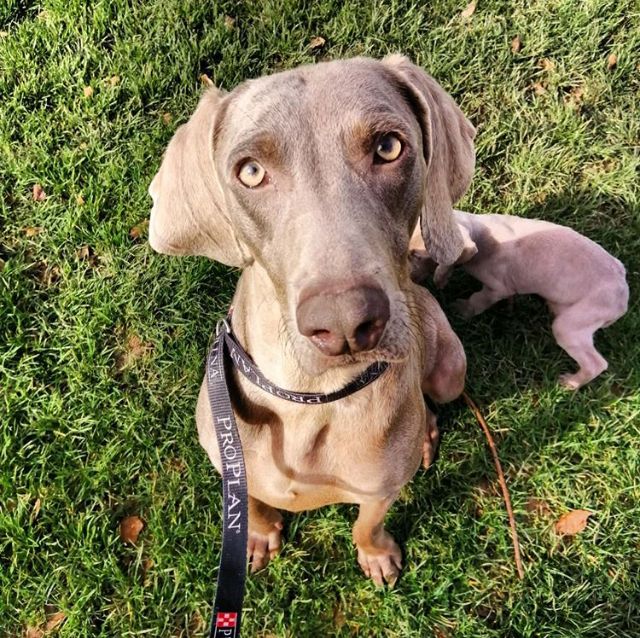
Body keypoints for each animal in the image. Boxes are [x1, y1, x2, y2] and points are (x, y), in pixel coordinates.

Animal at [148, 55, 476, 586]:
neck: (310, 397)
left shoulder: (380, 490)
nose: (346, 324)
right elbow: (252, 505)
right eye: (251, 172)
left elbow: (367, 523)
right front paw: (259, 536)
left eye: (388, 147)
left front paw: (376, 554)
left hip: (450, 369)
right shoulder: (231, 466)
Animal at [410, 210, 629, 389]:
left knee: (596, 363)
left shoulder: (497, 288)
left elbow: (477, 300)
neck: (482, 235)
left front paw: (461, 309)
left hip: (571, 324)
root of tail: (623, 294)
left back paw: (571, 383)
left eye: (417, 256)